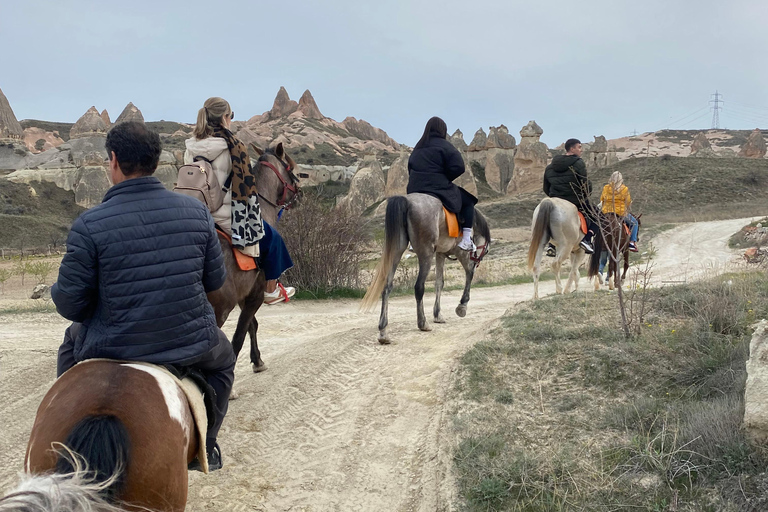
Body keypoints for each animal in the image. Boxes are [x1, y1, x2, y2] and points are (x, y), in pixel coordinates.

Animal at [207, 143, 304, 372]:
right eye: (295, 172)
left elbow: (252, 326)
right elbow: (238, 337)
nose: (301, 194)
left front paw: (257, 360)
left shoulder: (246, 296)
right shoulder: (255, 295)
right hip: (218, 311)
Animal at [362, 195, 492, 344]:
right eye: (486, 250)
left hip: (396, 251)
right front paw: (462, 306)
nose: (478, 262)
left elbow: (439, 283)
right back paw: (422, 323)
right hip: (426, 254)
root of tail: (407, 201)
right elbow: (469, 274)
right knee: (419, 287)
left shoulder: (440, 253)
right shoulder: (461, 253)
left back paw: (383, 332)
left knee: (387, 287)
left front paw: (438, 314)